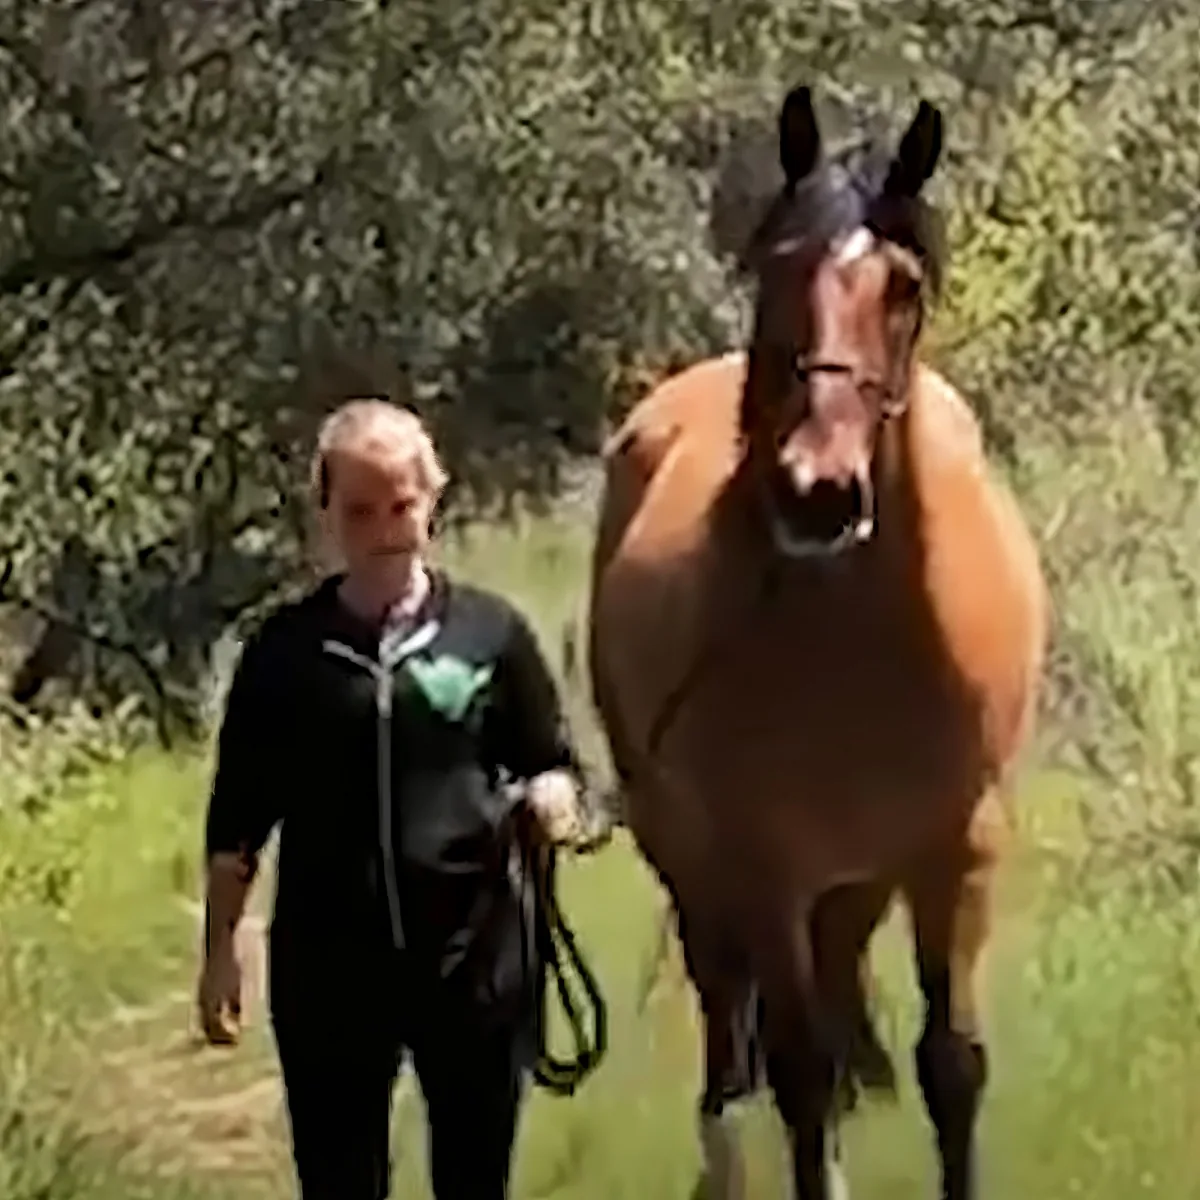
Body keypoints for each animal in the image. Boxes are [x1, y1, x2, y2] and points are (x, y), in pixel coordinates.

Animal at [586, 85, 1049, 1200]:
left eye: (905, 288)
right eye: (778, 265)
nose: (818, 494)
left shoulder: (953, 850)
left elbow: (951, 1067)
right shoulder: (769, 868)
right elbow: (797, 1073)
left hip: (859, 879)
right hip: (690, 854)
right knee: (730, 1024)